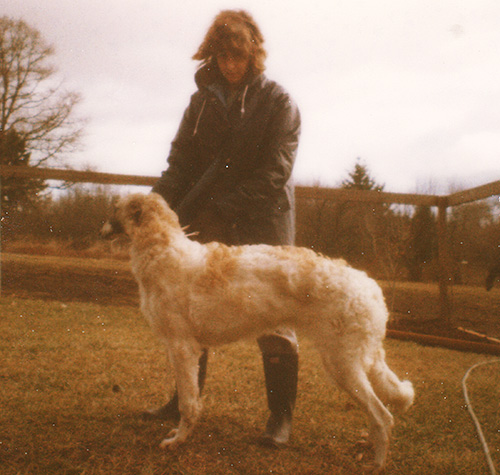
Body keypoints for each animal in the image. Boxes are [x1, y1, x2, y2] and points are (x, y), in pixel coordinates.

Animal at [101, 192, 414, 473]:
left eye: (114, 207)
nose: (100, 229)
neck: (163, 249)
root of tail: (371, 289)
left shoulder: (182, 347)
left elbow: (189, 404)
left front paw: (178, 440)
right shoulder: (186, 348)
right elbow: (188, 396)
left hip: (342, 366)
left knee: (383, 416)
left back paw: (377, 462)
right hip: (348, 364)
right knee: (380, 415)